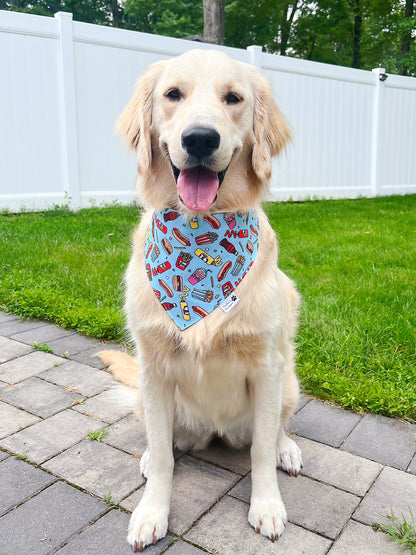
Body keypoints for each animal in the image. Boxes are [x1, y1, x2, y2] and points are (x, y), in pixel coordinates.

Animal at [101, 48, 302, 552]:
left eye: (233, 98)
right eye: (173, 94)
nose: (199, 139)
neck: (200, 234)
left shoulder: (266, 365)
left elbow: (261, 450)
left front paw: (267, 506)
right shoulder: (153, 365)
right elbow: (164, 459)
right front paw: (152, 512)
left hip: (288, 379)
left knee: (276, 429)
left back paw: (287, 448)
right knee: (163, 441)